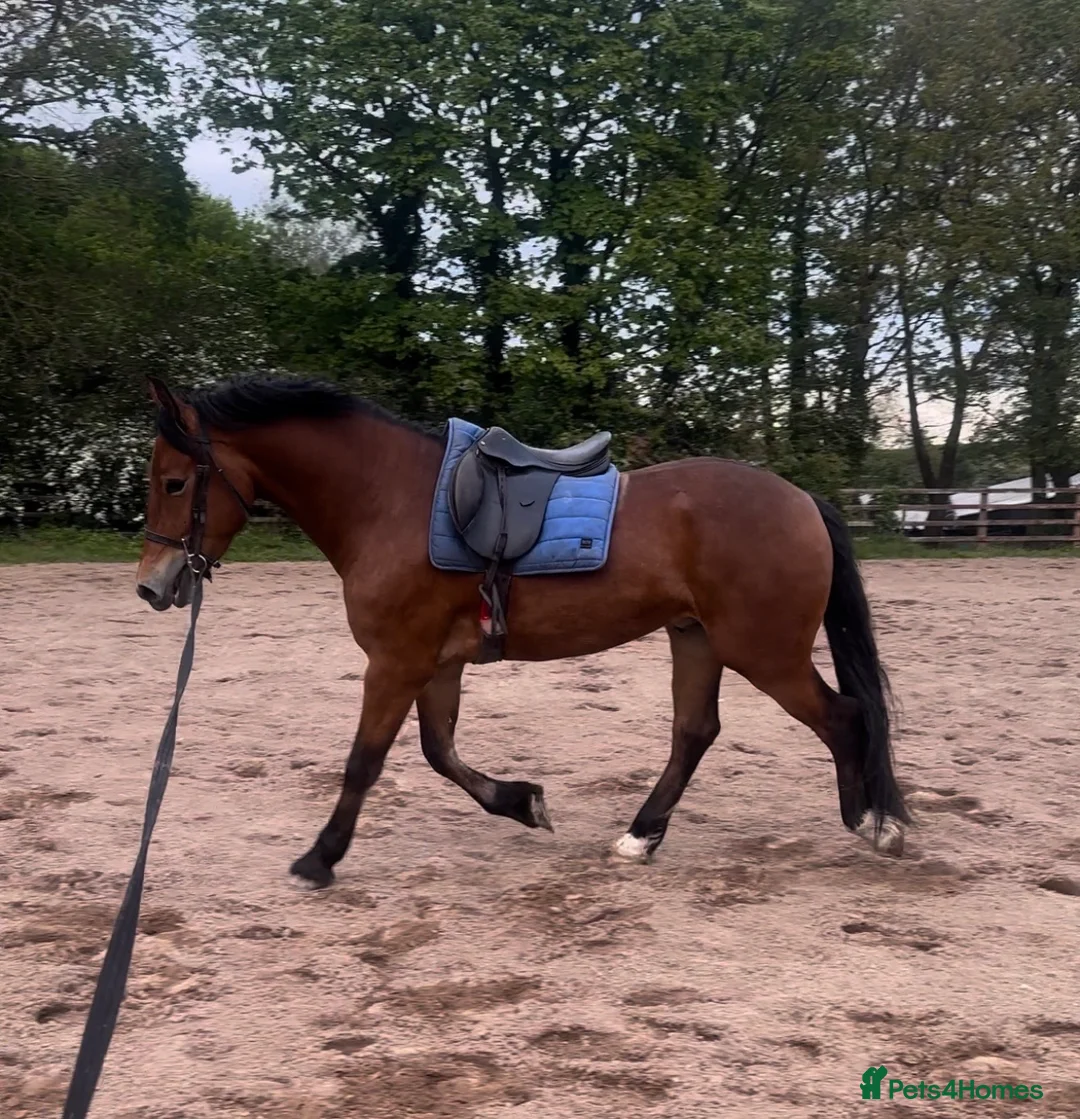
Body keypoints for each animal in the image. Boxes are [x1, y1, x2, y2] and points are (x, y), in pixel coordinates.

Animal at [136, 375, 909, 889]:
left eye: (174, 482)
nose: (152, 585)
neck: (388, 500)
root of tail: (801, 499)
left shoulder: (395, 660)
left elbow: (366, 760)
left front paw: (320, 857)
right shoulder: (435, 662)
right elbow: (439, 752)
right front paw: (522, 802)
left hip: (763, 651)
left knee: (844, 715)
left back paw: (876, 823)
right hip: (696, 637)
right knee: (696, 732)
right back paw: (641, 836)